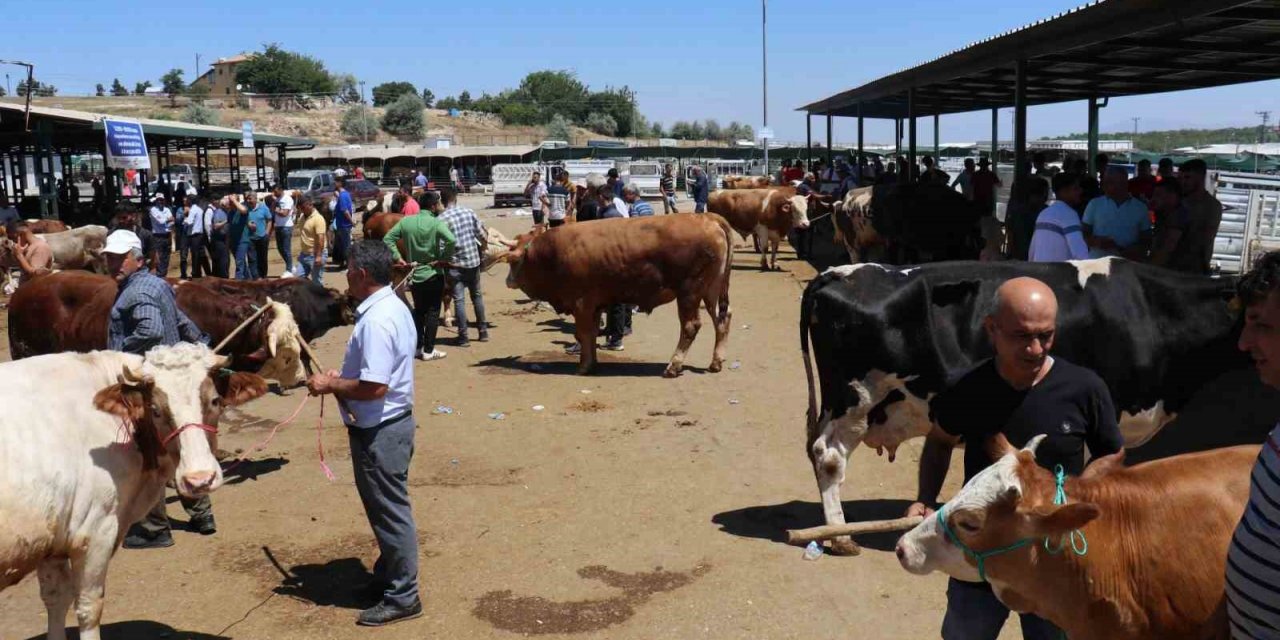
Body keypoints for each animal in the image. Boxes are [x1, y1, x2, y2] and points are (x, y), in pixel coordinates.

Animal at [504, 212, 737, 376]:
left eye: (513, 261)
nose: (508, 281)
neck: (553, 253)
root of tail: (708, 217)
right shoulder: (595, 305)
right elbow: (590, 334)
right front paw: (592, 362)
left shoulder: (581, 303)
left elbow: (583, 333)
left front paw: (584, 366)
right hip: (711, 290)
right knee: (722, 318)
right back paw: (716, 362)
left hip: (690, 292)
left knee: (690, 326)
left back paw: (674, 365)